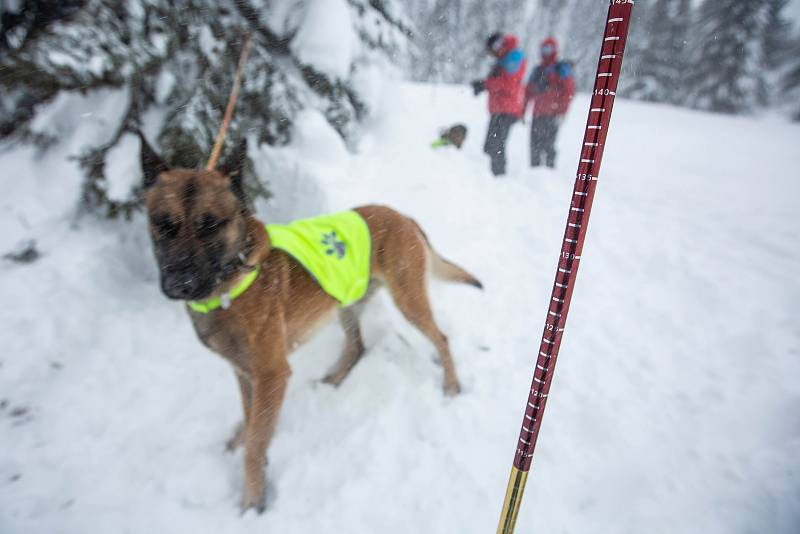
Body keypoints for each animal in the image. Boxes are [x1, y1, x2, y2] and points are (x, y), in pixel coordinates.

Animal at [138, 134, 482, 510]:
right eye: (163, 224)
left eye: (210, 223)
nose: (180, 284)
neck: (231, 281)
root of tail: (401, 215)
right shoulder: (244, 372)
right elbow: (251, 420)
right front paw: (240, 442)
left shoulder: (271, 375)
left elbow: (256, 444)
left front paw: (253, 502)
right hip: (346, 303)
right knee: (357, 347)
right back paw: (334, 379)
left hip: (408, 301)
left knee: (441, 338)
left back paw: (451, 385)